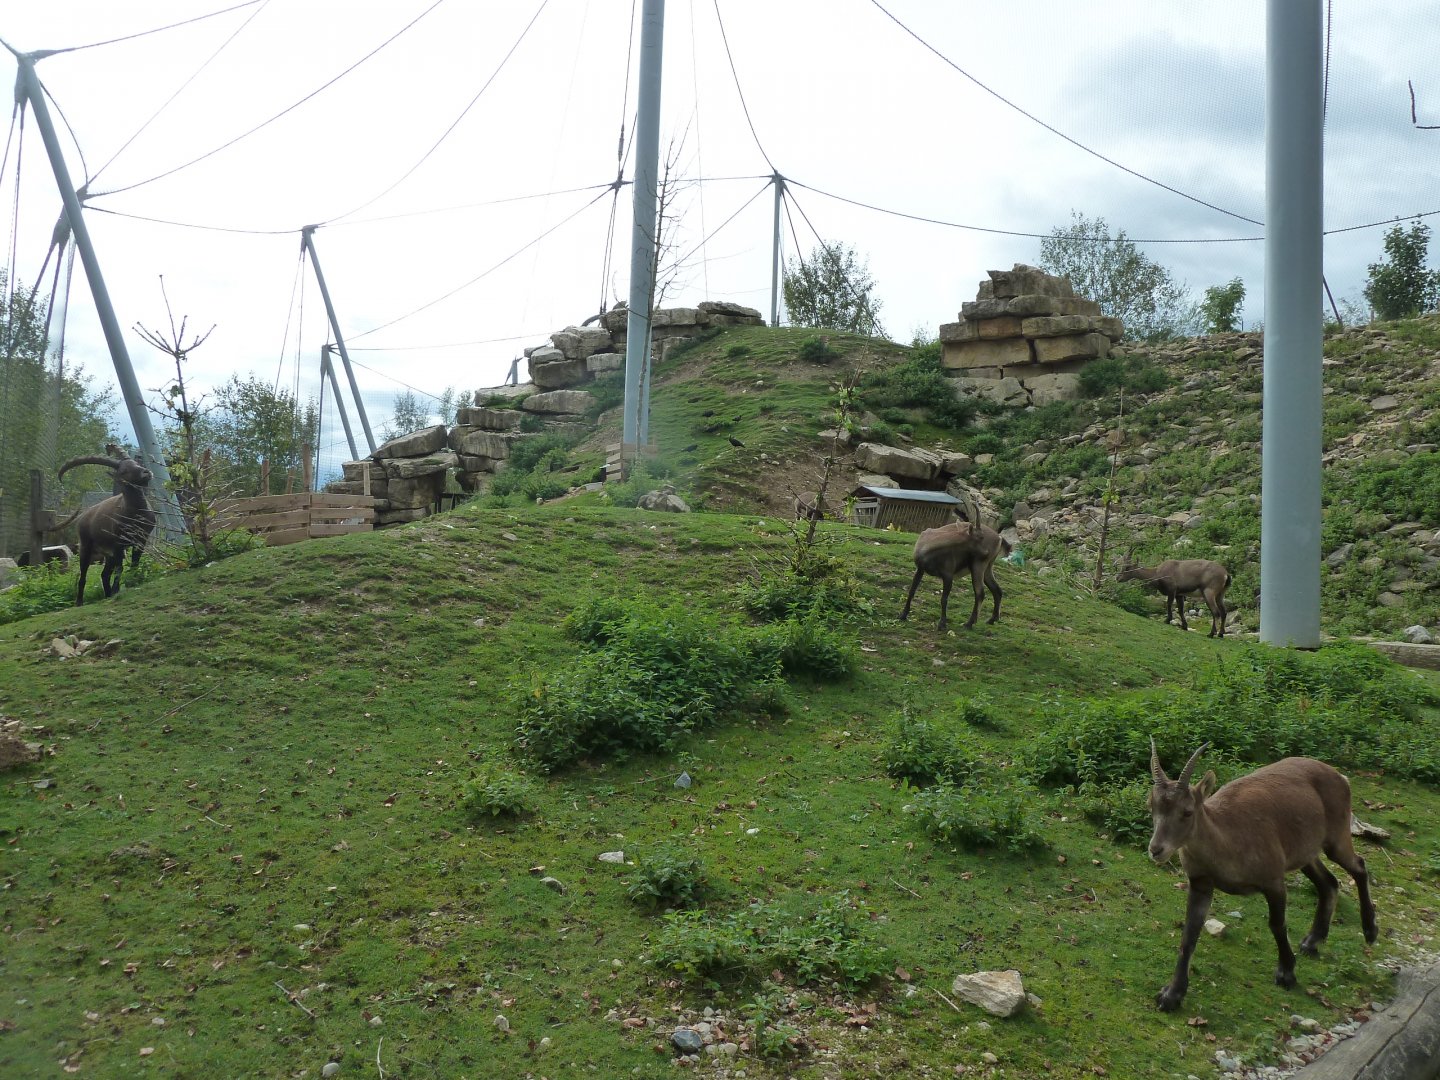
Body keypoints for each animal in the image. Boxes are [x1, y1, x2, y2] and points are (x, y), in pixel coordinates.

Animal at [54, 453, 157, 605]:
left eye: (136, 463)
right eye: (123, 471)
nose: (146, 472)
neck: (135, 512)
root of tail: (82, 517)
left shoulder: (141, 540)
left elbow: (135, 563)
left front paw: (132, 582)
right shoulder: (119, 543)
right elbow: (120, 567)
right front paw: (117, 590)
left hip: (108, 554)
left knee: (104, 574)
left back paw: (107, 594)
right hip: (86, 548)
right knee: (83, 576)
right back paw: (79, 602)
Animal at [1148, 741, 1378, 1013]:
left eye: (1187, 811)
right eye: (1152, 805)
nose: (1156, 849)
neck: (1226, 840)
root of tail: (1340, 777)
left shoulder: (1273, 880)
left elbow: (1277, 924)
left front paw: (1286, 973)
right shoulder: (1201, 882)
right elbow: (1189, 935)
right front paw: (1171, 995)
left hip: (1336, 837)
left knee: (1359, 866)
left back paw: (1370, 931)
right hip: (1305, 852)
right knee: (1329, 882)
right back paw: (1312, 941)